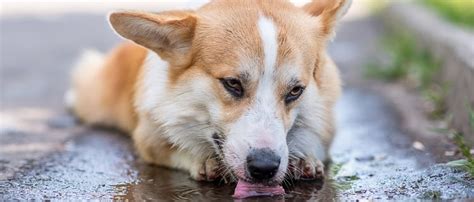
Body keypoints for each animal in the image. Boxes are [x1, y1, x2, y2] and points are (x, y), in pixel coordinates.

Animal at [65, 0, 348, 186]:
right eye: (232, 83)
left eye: (296, 90)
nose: (264, 168)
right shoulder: (149, 138)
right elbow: (171, 148)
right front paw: (201, 160)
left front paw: (303, 159)